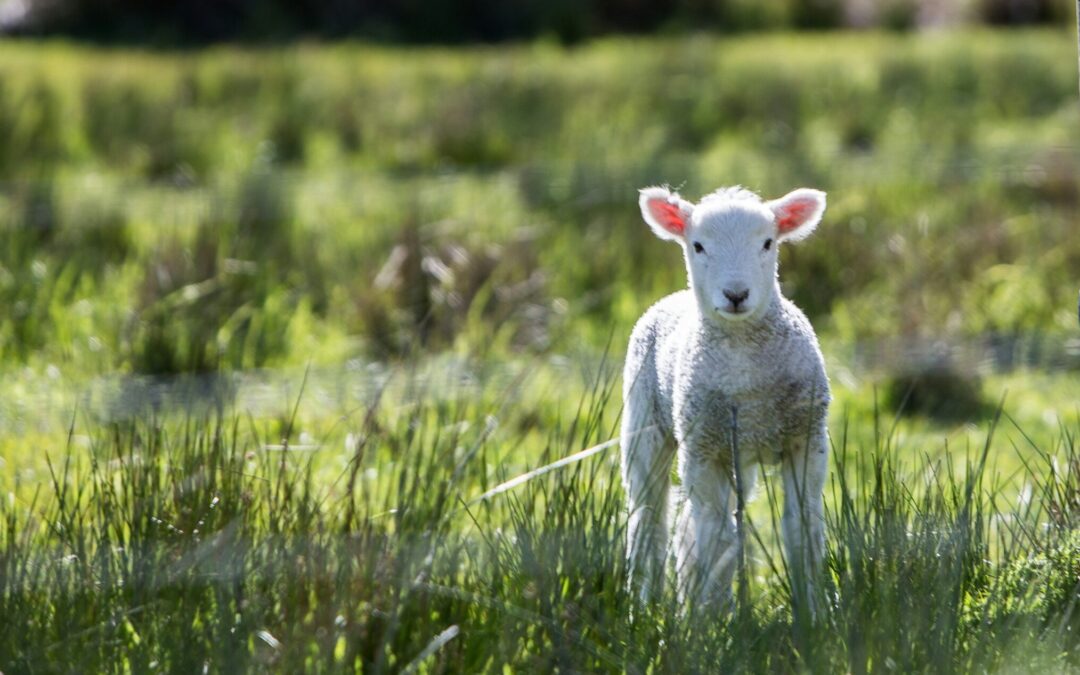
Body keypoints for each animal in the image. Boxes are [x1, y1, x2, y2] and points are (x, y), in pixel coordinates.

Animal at [622, 182, 829, 609]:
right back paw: (644, 604)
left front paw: (813, 612)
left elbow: (802, 529)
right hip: (645, 423)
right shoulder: (703, 450)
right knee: (649, 517)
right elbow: (716, 540)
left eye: (768, 242)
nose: (736, 294)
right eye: (698, 245)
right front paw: (712, 617)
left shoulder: (806, 439)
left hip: (738, 453)